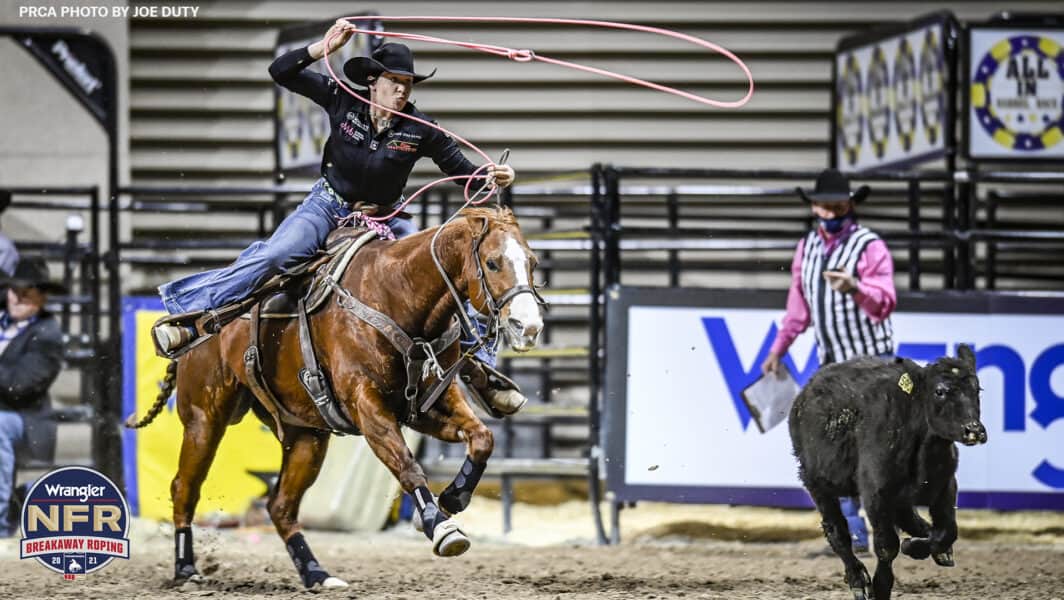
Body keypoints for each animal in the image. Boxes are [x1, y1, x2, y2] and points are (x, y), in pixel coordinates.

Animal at [126, 205, 540, 587]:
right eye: (493, 262)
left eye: (532, 261)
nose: (529, 326)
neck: (397, 294)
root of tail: (200, 324)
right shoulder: (368, 407)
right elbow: (406, 464)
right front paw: (441, 527)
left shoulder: (428, 405)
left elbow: (482, 438)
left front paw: (453, 498)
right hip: (204, 417)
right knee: (185, 487)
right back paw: (186, 568)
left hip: (306, 436)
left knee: (280, 506)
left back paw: (316, 573)